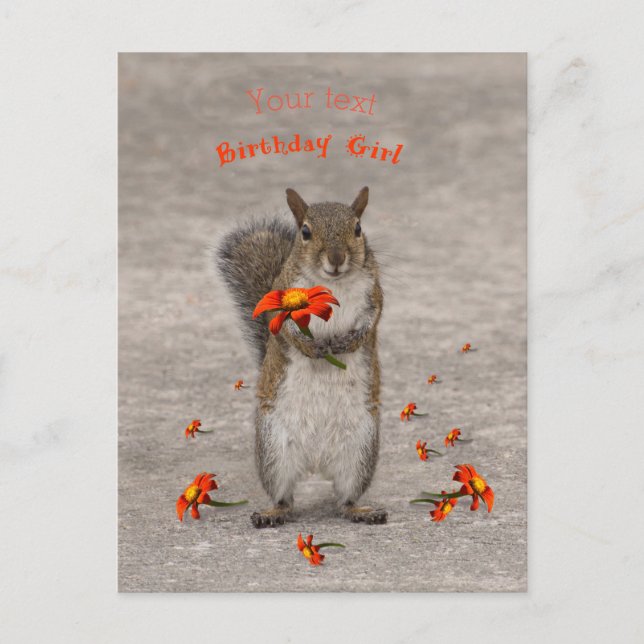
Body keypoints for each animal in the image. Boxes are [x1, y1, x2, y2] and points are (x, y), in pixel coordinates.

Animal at [217, 187, 387, 528]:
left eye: (358, 228)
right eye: (305, 232)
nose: (336, 258)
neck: (333, 284)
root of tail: (316, 462)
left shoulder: (374, 293)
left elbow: (372, 318)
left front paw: (351, 341)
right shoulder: (282, 294)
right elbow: (284, 329)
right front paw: (311, 347)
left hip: (360, 450)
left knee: (345, 498)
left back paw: (361, 511)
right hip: (274, 450)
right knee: (285, 497)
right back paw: (271, 514)